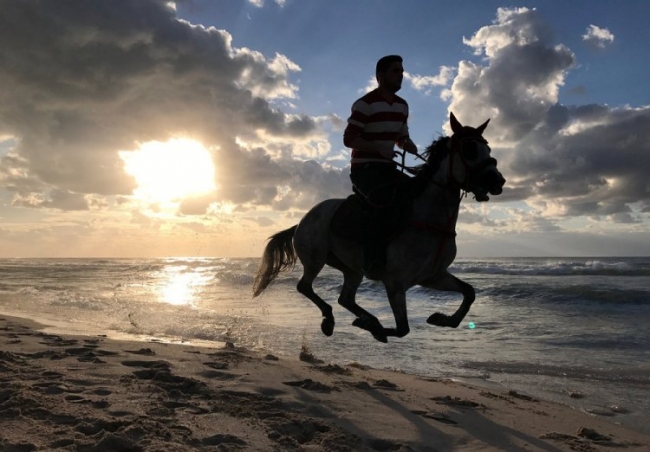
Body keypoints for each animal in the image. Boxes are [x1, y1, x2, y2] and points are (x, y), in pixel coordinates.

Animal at [251, 112, 504, 342]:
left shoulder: (433, 276)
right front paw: (374, 328)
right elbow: (403, 328)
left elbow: (469, 292)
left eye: (488, 149)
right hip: (316, 258)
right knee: (305, 287)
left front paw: (442, 319)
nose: (498, 182)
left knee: (345, 298)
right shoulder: (395, 283)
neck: (430, 221)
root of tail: (302, 221)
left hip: (351, 268)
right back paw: (333, 320)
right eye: (470, 148)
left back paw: (365, 319)